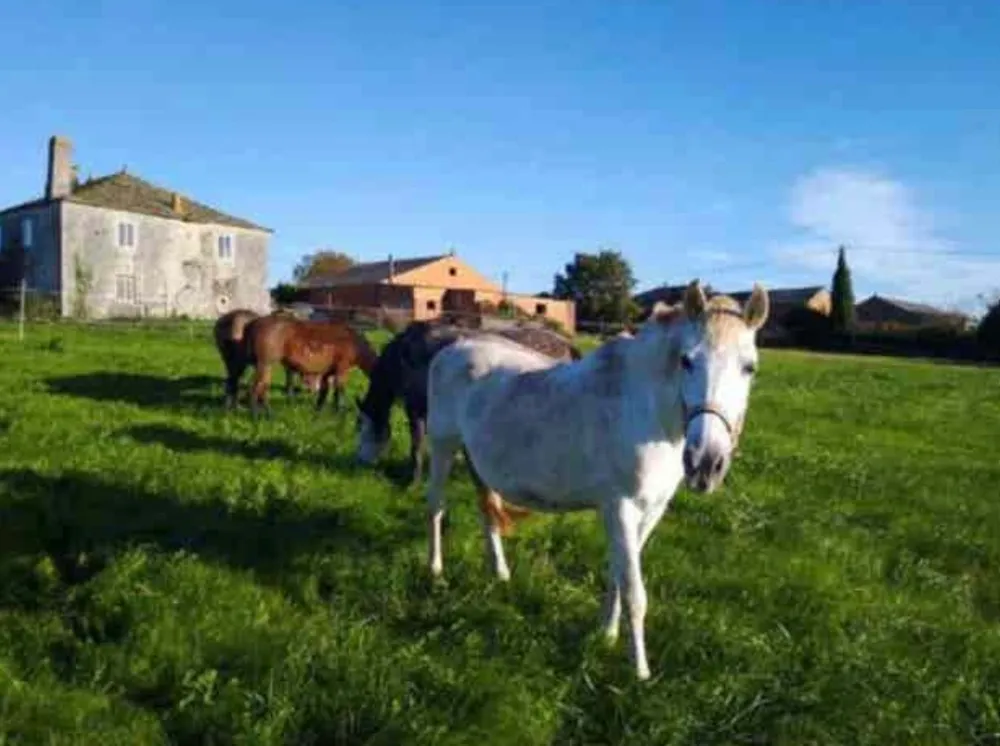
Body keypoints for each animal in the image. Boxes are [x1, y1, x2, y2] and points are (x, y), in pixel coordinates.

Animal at [243, 315, 379, 417]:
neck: (356, 345)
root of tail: (253, 323)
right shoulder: (342, 369)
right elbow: (339, 391)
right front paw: (339, 413)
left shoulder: (327, 372)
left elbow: (324, 392)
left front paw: (318, 412)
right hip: (265, 364)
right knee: (255, 388)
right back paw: (255, 416)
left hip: (265, 366)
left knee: (263, 388)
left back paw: (269, 414)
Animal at [354, 319, 582, 484]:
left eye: (364, 428)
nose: (361, 461)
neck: (402, 357)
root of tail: (567, 344)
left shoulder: (415, 408)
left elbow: (416, 445)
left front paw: (412, 482)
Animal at [422, 280, 769, 680]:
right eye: (686, 361)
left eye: (749, 368)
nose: (706, 463)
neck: (645, 411)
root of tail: (452, 349)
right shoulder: (620, 507)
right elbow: (635, 591)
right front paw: (640, 672)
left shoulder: (650, 511)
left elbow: (618, 573)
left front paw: (606, 633)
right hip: (443, 446)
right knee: (436, 507)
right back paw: (435, 572)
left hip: (476, 461)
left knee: (487, 514)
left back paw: (501, 574)